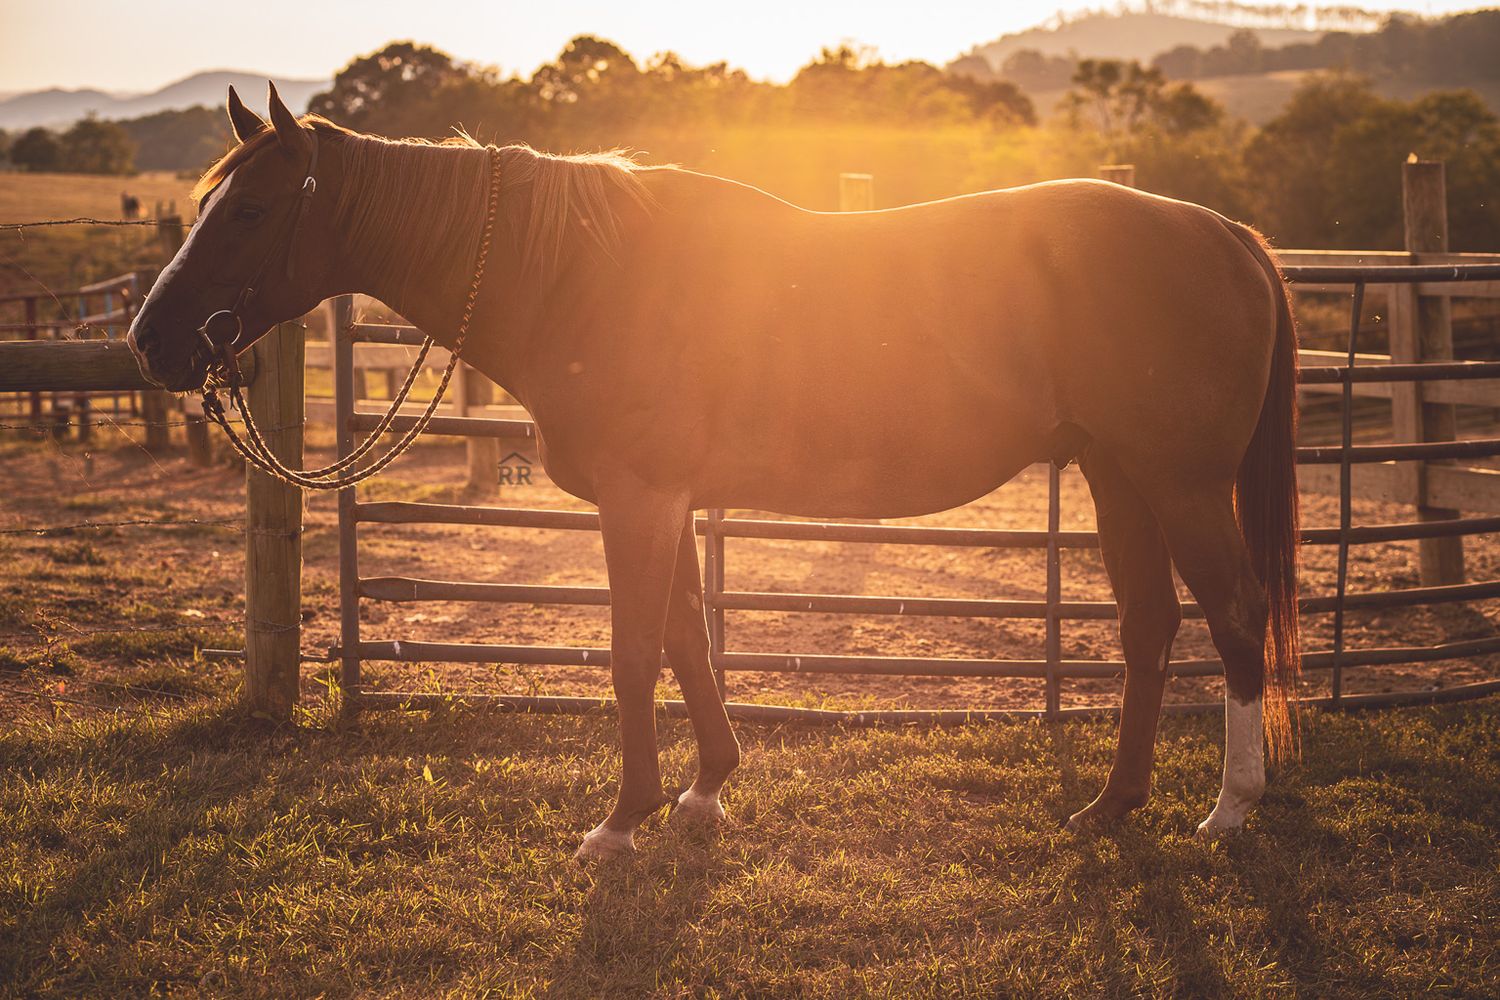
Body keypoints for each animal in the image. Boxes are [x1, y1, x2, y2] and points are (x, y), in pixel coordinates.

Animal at [128, 84, 1301, 862]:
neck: (583, 273)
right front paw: (701, 794)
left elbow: (634, 651)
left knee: (1236, 616)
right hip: (1118, 476)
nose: (153, 339)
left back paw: (1230, 805)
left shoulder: (640, 500)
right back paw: (1113, 805)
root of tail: (1231, 236)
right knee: (1150, 626)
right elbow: (690, 638)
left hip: (1179, 484)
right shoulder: (670, 501)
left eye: (252, 209)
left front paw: (622, 820)